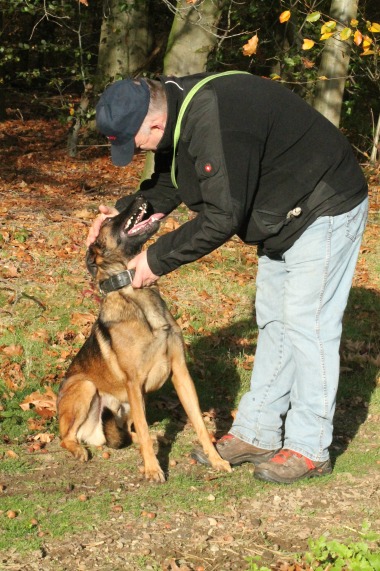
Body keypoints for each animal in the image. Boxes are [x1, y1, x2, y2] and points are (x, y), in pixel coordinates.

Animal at [58, 197, 232, 482]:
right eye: (109, 220)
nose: (140, 198)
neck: (136, 294)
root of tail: (94, 434)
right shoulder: (134, 382)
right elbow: (147, 433)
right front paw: (152, 469)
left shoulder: (180, 373)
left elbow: (199, 423)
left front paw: (216, 459)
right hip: (86, 386)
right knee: (67, 437)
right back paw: (79, 450)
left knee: (133, 432)